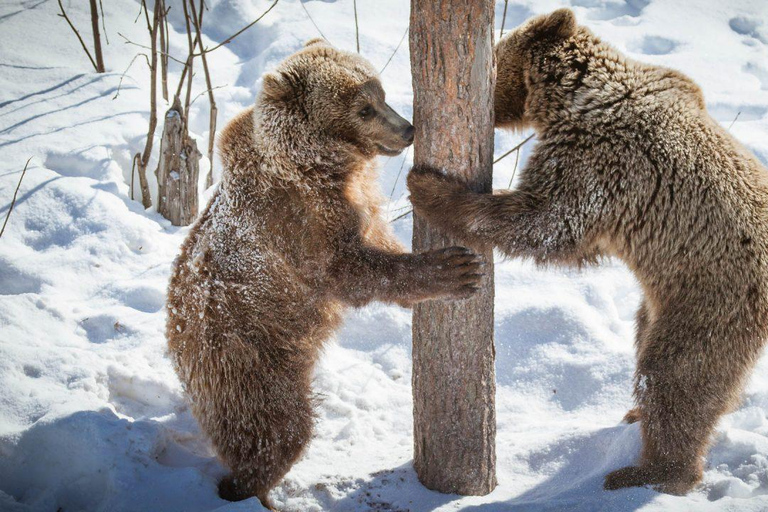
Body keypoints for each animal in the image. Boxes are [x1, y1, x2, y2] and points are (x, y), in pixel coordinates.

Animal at [166, 40, 486, 508]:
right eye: (363, 108)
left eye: (381, 94)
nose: (407, 130)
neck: (323, 167)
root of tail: (177, 348)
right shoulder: (296, 224)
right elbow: (351, 271)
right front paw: (455, 269)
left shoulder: (355, 201)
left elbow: (375, 238)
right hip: (248, 361)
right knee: (277, 431)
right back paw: (249, 489)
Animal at [412, 8, 768, 496]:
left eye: (495, 61)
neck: (576, 97)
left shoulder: (601, 161)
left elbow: (546, 221)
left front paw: (429, 188)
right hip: (664, 301)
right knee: (651, 343)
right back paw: (639, 417)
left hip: (712, 300)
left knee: (675, 378)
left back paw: (649, 471)